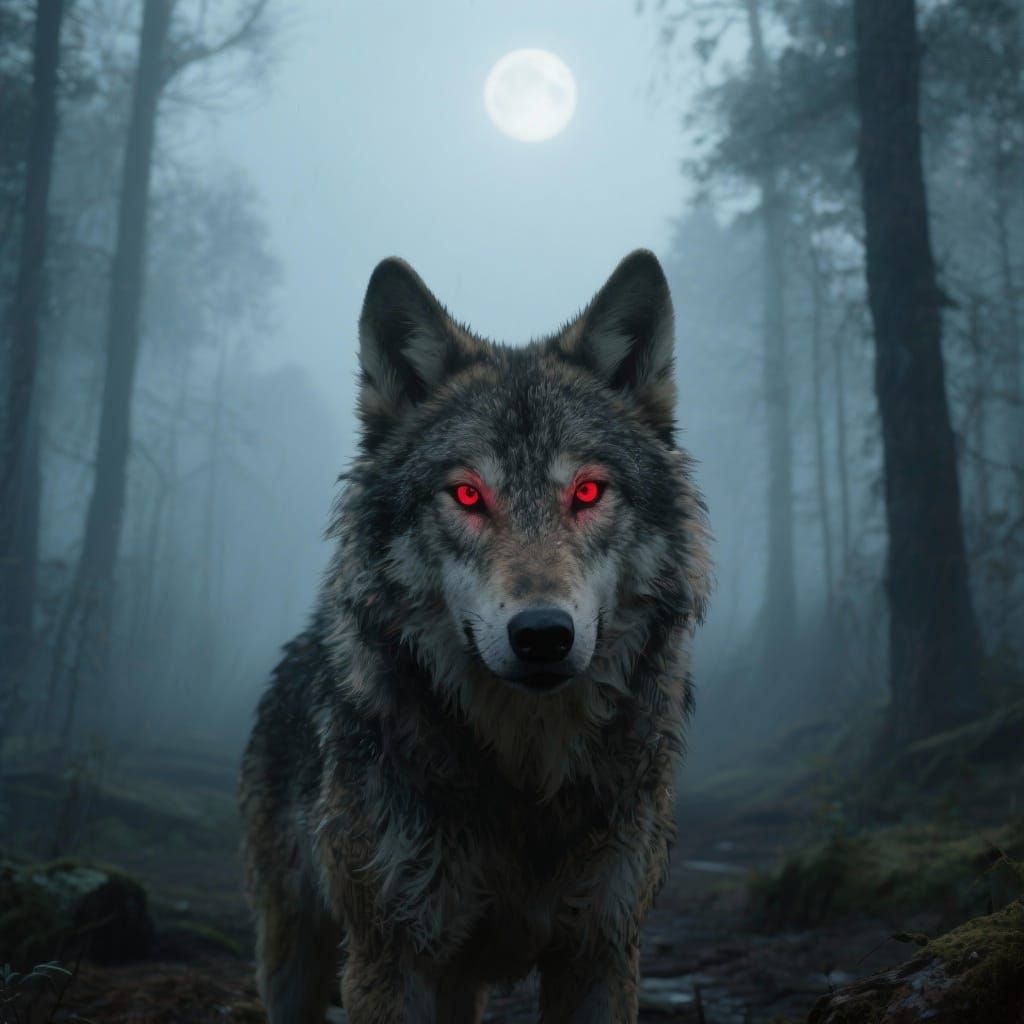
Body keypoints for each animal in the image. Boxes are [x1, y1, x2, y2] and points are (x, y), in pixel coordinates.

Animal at [239, 249, 711, 1023]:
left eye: (587, 492)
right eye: (467, 495)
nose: (543, 635)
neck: (525, 776)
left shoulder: (603, 950)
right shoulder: (391, 959)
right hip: (295, 956)